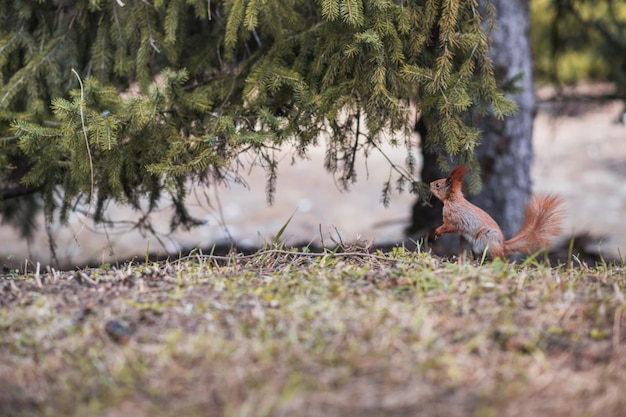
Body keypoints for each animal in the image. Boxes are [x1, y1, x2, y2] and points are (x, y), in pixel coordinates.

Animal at [426, 163, 564, 256]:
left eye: (438, 185)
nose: (429, 183)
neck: (452, 200)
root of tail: (503, 246)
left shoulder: (455, 218)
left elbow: (449, 226)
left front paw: (437, 231)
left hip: (488, 239)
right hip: (468, 241)